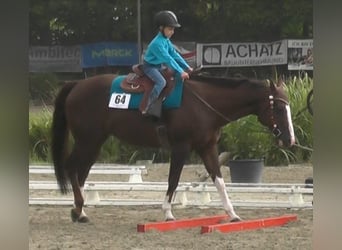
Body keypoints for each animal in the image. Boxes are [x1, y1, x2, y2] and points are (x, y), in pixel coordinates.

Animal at [50, 72, 294, 223]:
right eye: (278, 109)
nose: (289, 140)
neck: (204, 104)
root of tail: (77, 85)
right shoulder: (181, 147)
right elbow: (173, 180)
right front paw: (168, 213)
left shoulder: (207, 148)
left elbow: (219, 180)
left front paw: (232, 214)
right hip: (87, 140)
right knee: (72, 168)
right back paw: (79, 209)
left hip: (94, 143)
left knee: (81, 173)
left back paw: (80, 212)